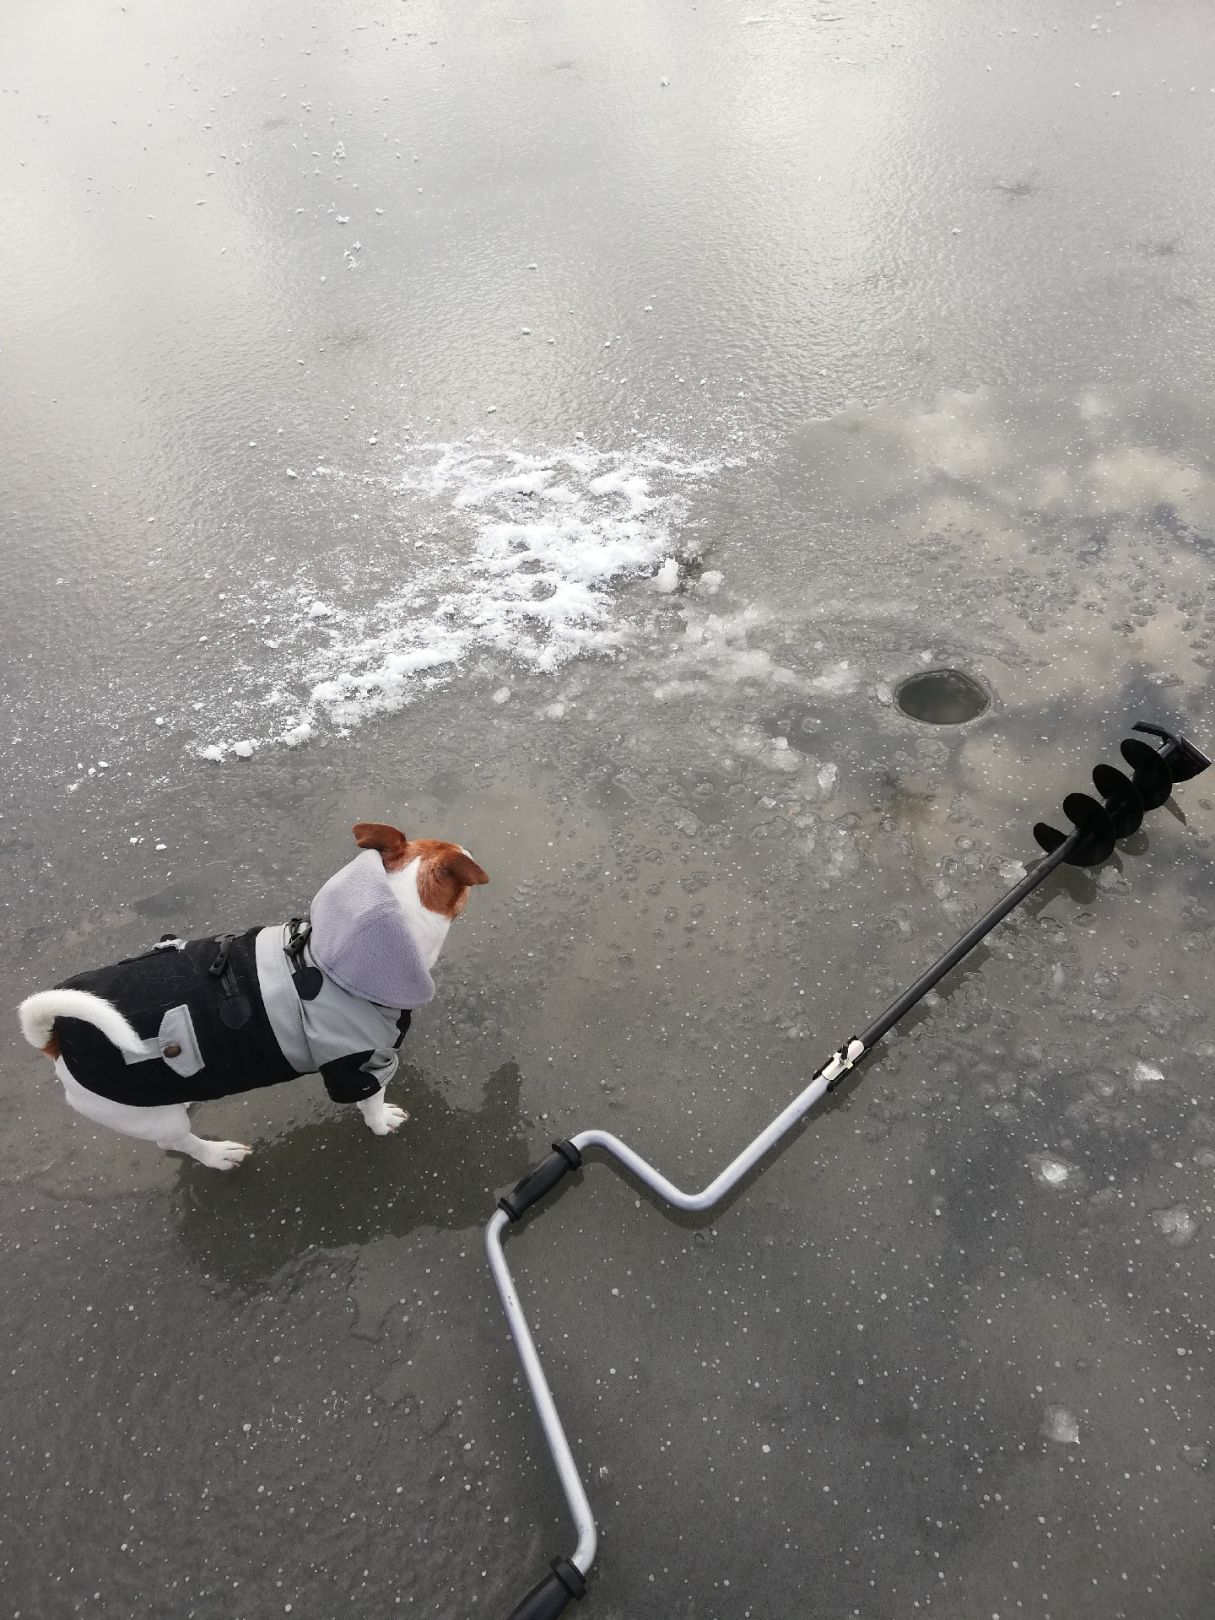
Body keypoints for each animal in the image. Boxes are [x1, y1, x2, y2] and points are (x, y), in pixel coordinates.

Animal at [17, 822, 486, 1166]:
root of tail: (57, 1037)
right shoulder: (354, 1065)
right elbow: (370, 1102)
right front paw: (382, 1121)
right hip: (149, 1120)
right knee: (179, 1142)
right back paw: (216, 1154)